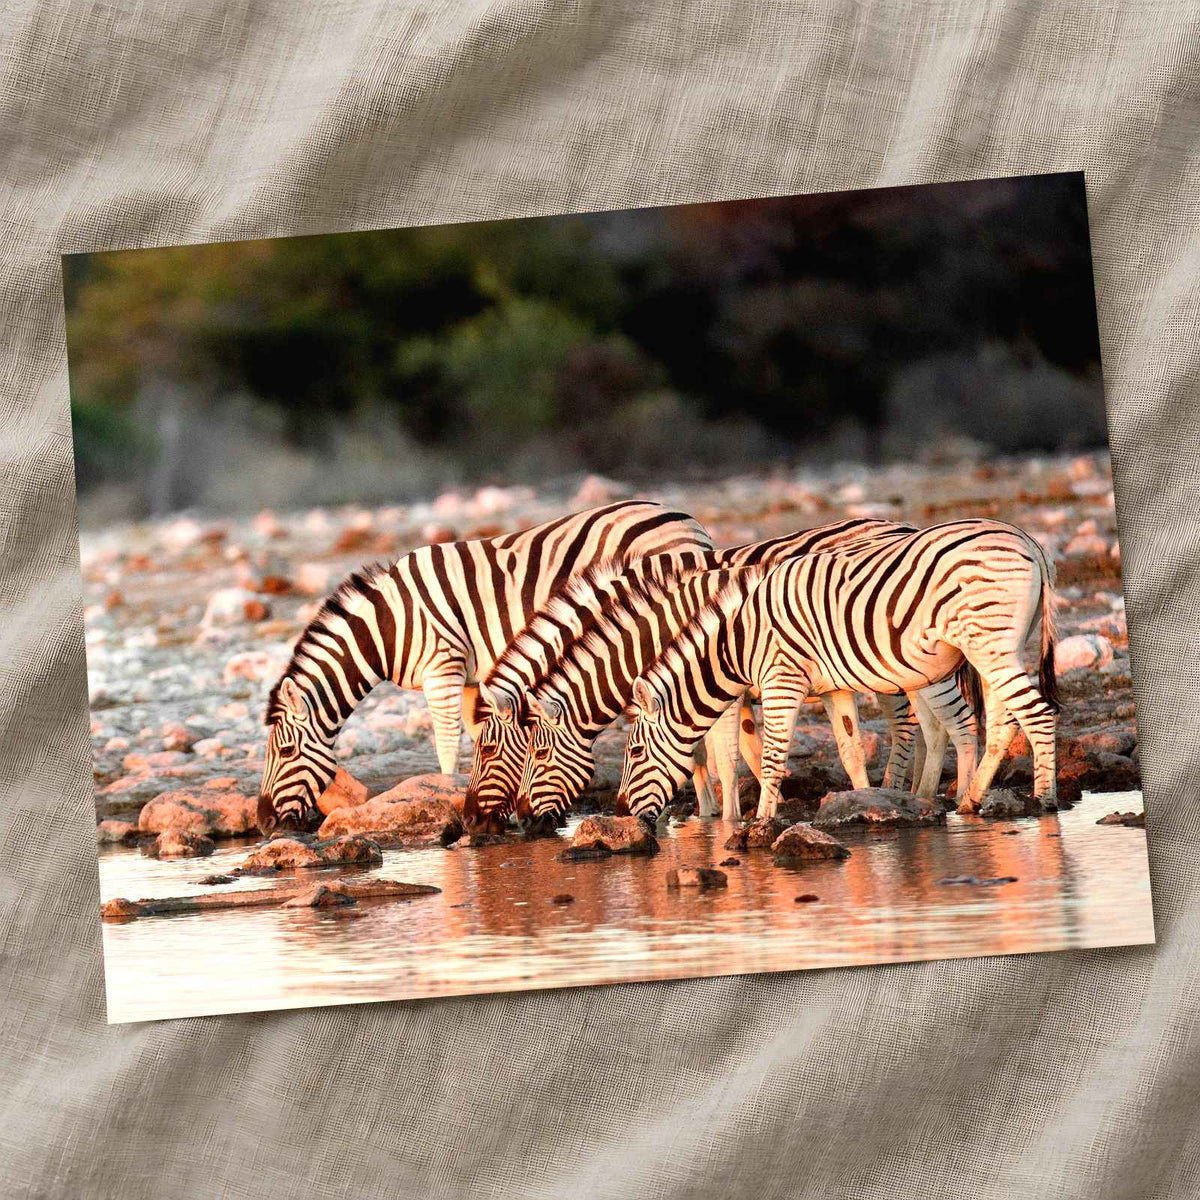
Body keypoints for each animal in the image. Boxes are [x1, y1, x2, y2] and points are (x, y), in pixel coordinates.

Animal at [256, 501, 713, 832]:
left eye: (283, 751)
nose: (262, 823)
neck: (388, 626)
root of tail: (687, 520)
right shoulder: (472, 678)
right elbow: (481, 735)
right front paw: (494, 808)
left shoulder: (442, 665)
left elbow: (446, 742)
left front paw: (446, 797)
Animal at [462, 518, 941, 832]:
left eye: (489, 752)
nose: (470, 822)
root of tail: (897, 523)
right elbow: (701, 751)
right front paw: (710, 812)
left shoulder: (716, 685)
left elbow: (721, 755)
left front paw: (725, 820)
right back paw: (916, 794)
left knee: (908, 726)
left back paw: (903, 791)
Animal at [614, 519, 1058, 824]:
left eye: (635, 752)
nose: (619, 810)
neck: (736, 643)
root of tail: (1028, 540)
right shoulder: (832, 688)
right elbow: (849, 750)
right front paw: (867, 804)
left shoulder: (782, 679)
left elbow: (770, 756)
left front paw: (759, 824)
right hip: (993, 648)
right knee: (1003, 723)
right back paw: (969, 801)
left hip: (987, 644)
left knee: (1036, 714)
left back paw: (1045, 801)